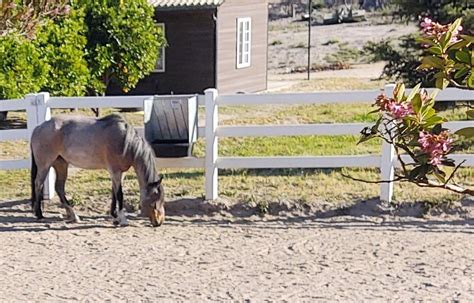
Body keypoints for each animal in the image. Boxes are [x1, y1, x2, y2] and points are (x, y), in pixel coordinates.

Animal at [31, 114, 165, 228]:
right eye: (154, 200)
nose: (159, 222)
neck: (125, 142)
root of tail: (38, 128)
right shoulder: (115, 171)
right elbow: (120, 195)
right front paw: (122, 219)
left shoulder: (120, 173)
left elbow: (114, 193)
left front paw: (115, 216)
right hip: (45, 165)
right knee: (38, 184)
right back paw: (39, 214)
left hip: (61, 165)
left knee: (59, 188)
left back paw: (73, 215)